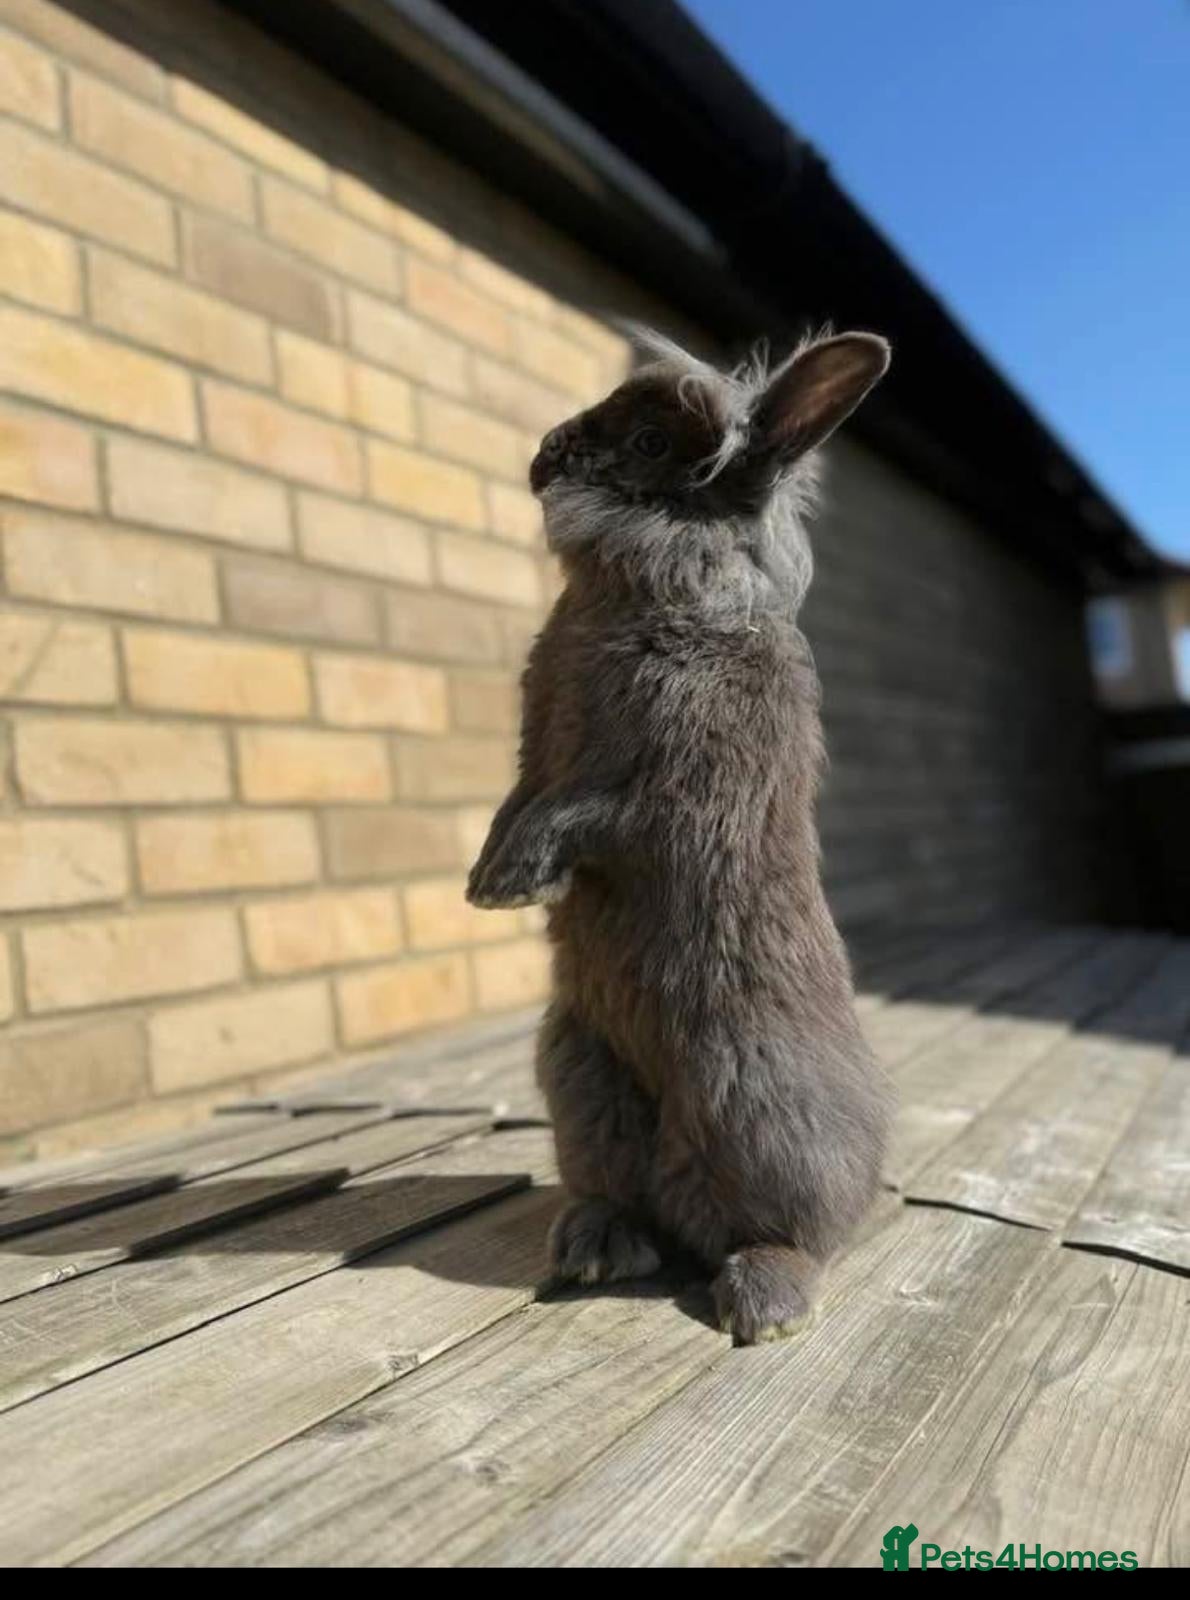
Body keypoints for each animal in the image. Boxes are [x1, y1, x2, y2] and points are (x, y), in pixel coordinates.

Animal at [466, 327, 895, 1343]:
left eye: (653, 443)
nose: (543, 455)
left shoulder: (667, 791)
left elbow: (579, 813)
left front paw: (511, 881)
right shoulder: (535, 760)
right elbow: (519, 799)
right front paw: (487, 879)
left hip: (757, 1107)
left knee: (793, 1234)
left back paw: (764, 1305)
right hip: (579, 1076)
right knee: (630, 1201)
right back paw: (595, 1246)